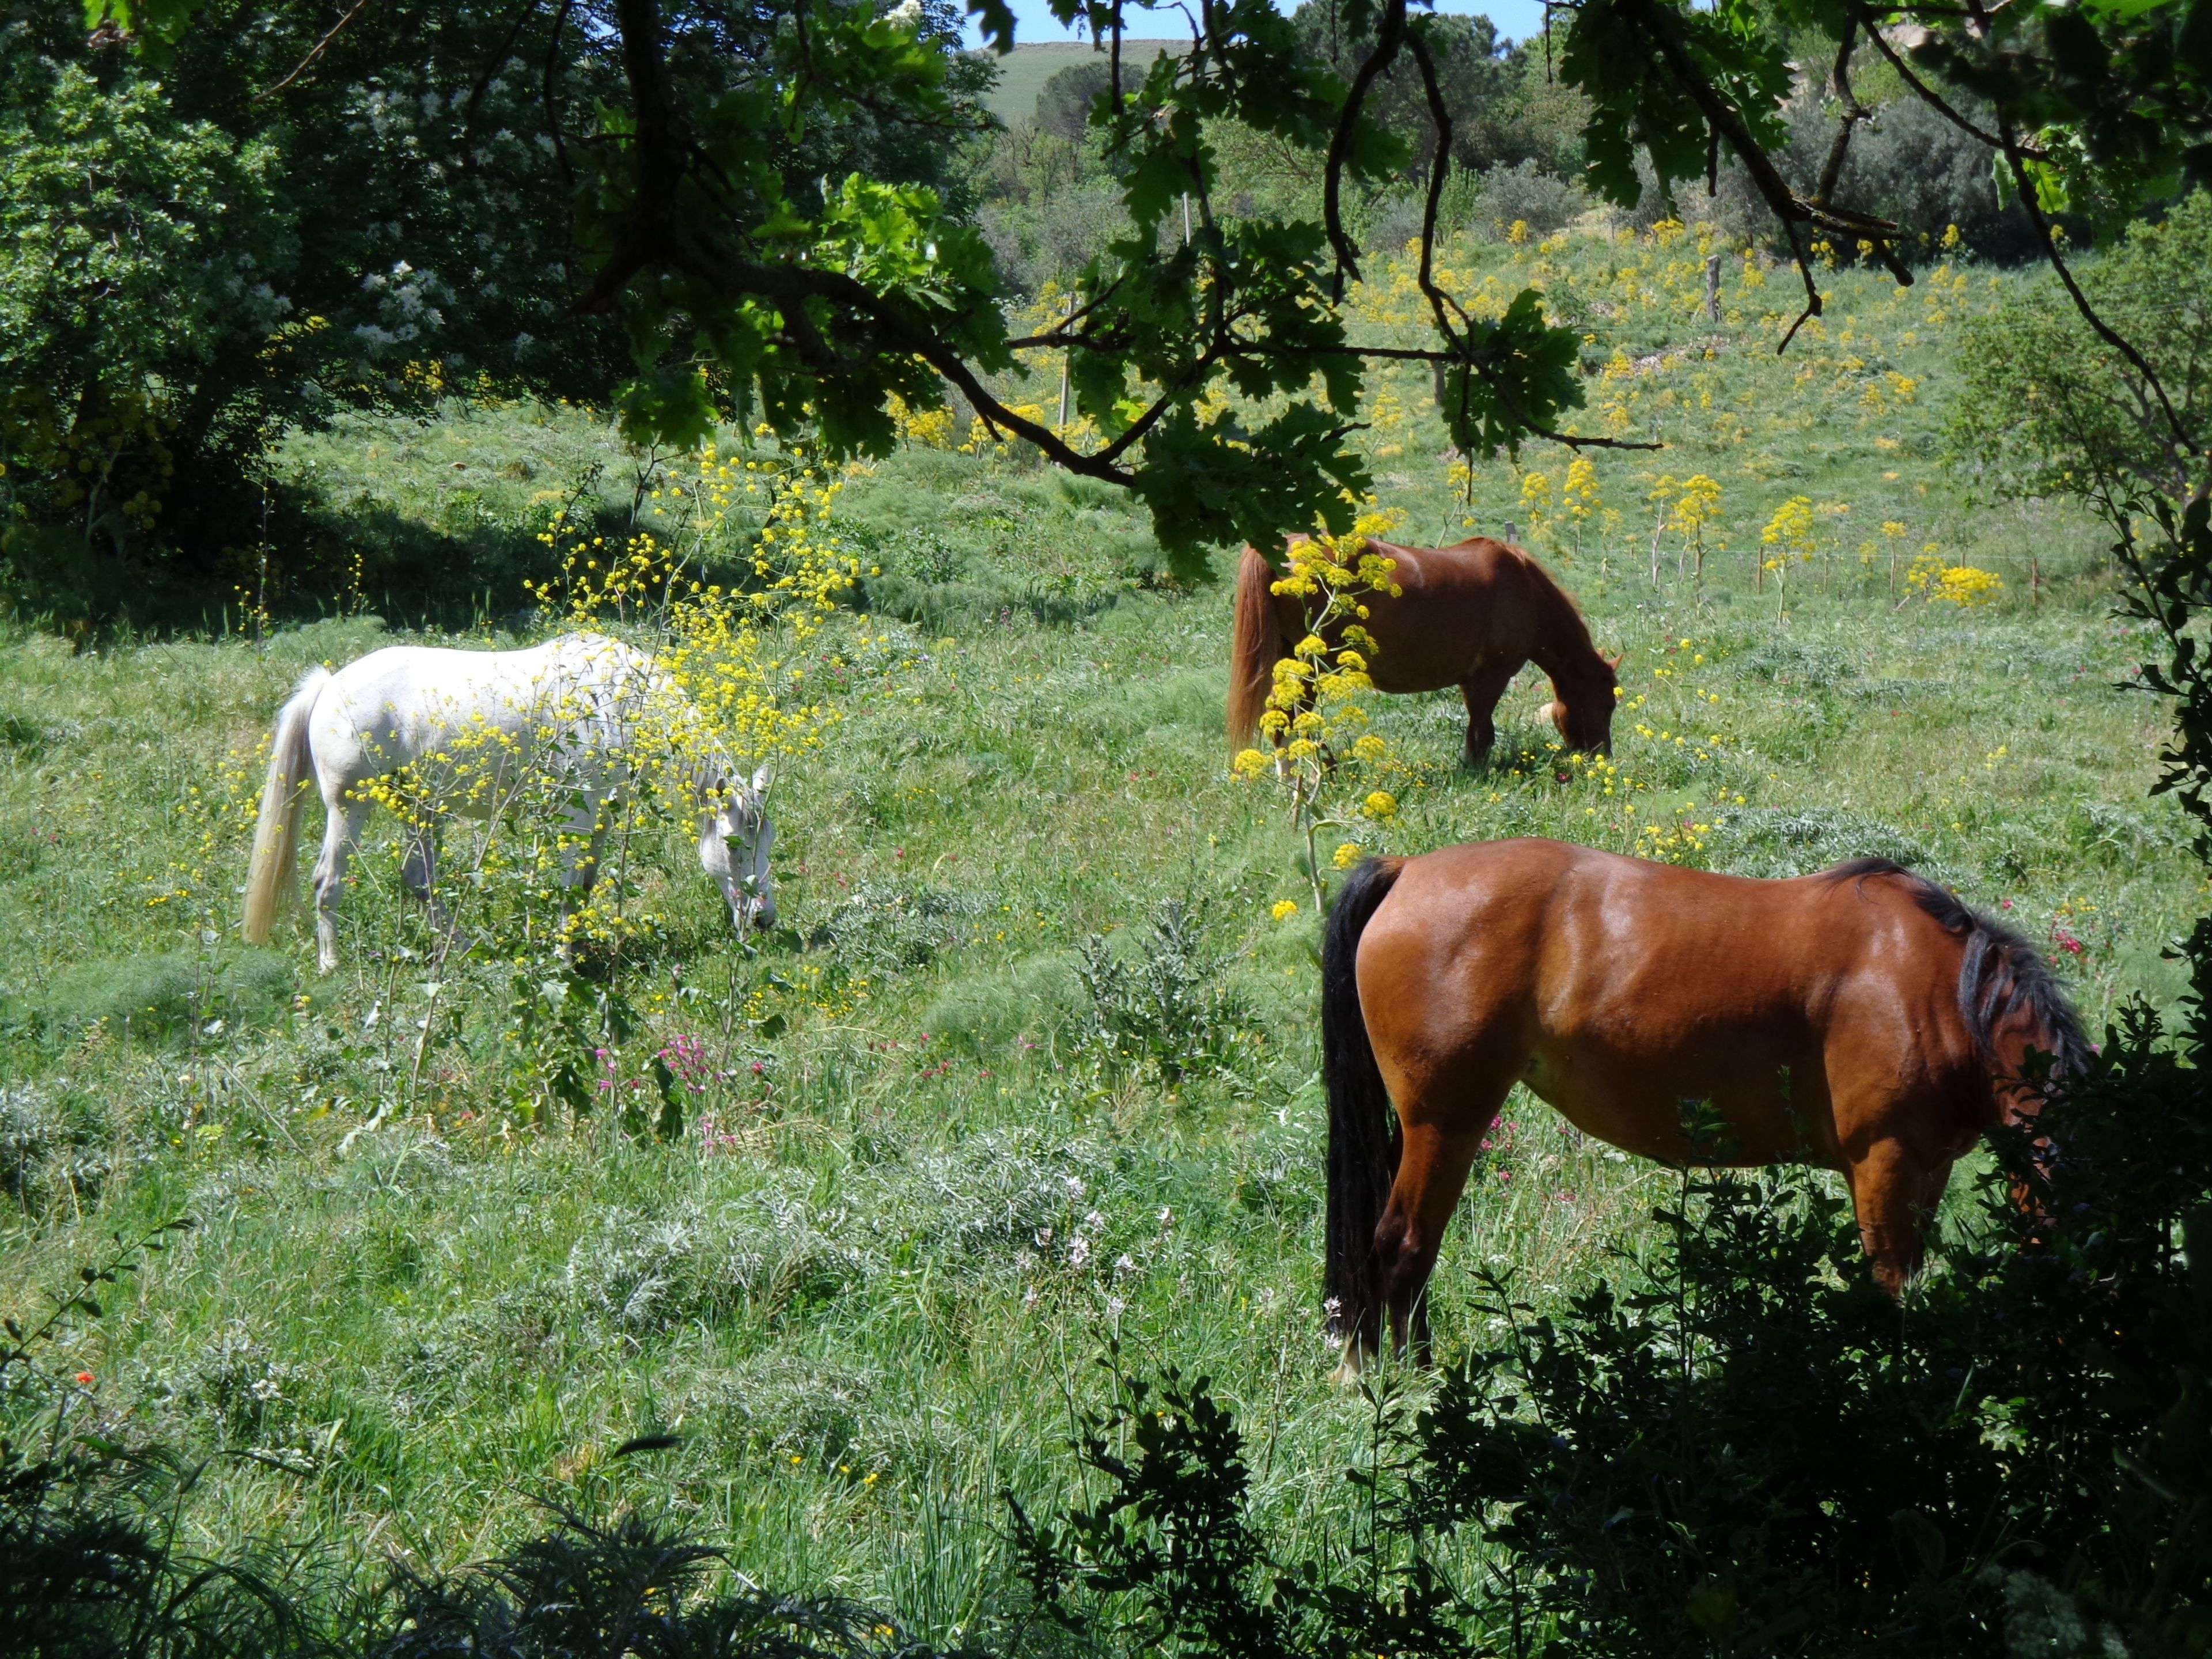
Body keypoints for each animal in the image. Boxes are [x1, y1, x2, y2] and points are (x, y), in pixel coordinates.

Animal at [241, 632, 775, 973]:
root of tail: (328, 686)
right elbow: (565, 888)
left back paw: (460, 949)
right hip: (349, 809)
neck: (617, 703)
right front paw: (563, 960)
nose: (763, 920)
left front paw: (578, 946)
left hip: (419, 810)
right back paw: (330, 963)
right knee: (328, 882)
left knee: (419, 883)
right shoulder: (576, 817)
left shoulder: (600, 820)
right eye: (733, 845)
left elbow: (583, 887)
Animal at [1228, 536, 1621, 765]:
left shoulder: (1470, 680)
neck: (1523, 587)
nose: (1602, 755)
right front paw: (1477, 770)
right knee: (1297, 719)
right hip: (1312, 664)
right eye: (1608, 704)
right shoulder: (1492, 676)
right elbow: (1483, 731)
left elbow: (1476, 729)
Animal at [1321, 839, 2085, 1377]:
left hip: (1417, 1131)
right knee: (1404, 1246)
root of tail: (1408, 870)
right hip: (1446, 1124)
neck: (1942, 992)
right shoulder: (1884, 1163)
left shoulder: (1928, 1168)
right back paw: (1415, 1386)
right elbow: (1890, 1287)